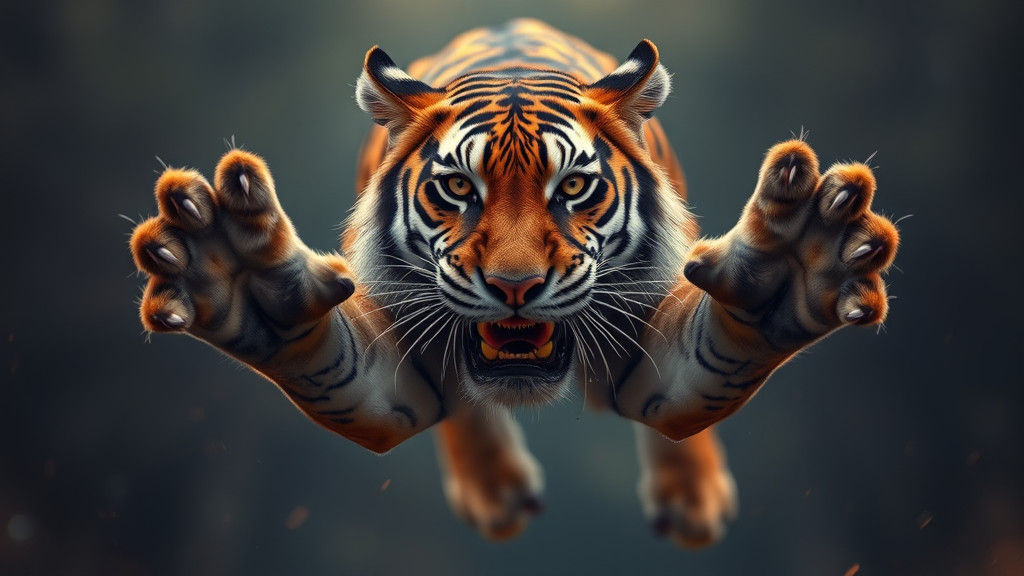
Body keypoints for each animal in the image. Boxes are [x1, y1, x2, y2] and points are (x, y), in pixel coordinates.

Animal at [129, 18, 899, 547]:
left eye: (574, 187)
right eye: (458, 189)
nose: (516, 286)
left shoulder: (654, 356)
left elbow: (712, 362)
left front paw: (801, 259)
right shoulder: (391, 373)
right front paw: (232, 270)